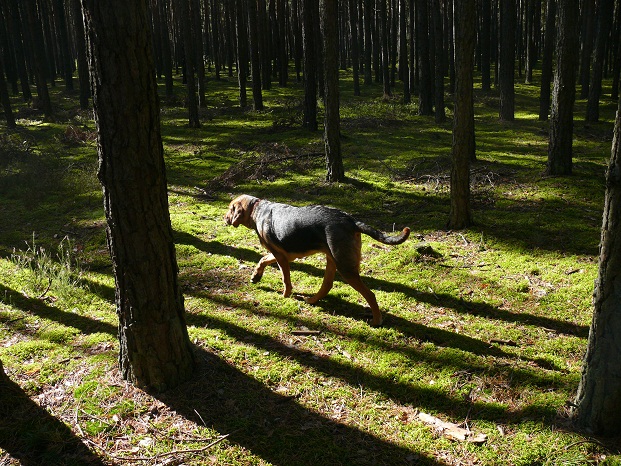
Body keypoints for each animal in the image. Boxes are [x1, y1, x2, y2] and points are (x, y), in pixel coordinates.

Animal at [225, 195, 410, 326]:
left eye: (230, 209)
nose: (224, 218)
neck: (257, 209)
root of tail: (351, 221)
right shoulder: (283, 254)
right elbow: (263, 259)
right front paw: (256, 277)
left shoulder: (281, 256)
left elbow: (285, 279)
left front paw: (285, 296)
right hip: (332, 260)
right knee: (327, 285)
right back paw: (311, 300)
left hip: (344, 266)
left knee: (370, 294)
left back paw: (376, 320)